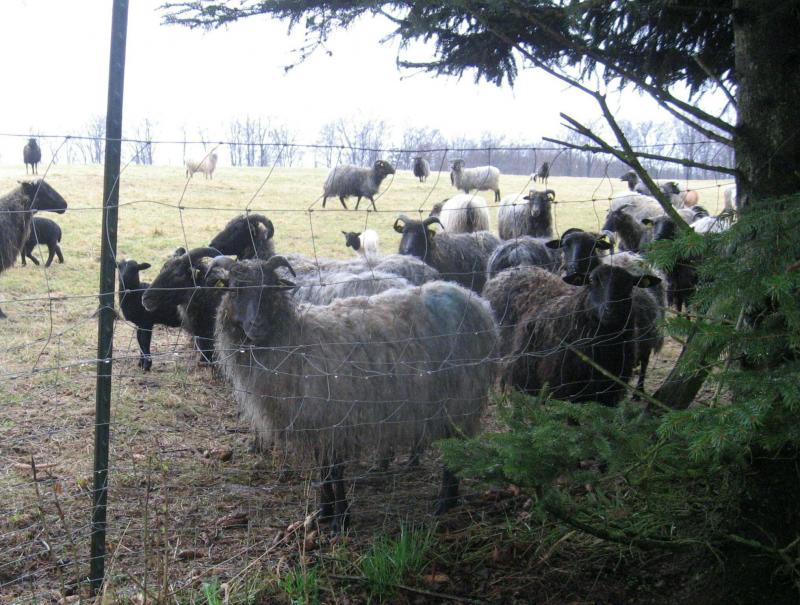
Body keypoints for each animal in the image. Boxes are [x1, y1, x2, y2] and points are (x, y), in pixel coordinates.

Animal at [214, 255, 498, 529]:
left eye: (271, 288)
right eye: (235, 289)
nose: (257, 325)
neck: (295, 341)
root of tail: (479, 305)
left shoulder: (335, 420)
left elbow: (334, 473)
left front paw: (340, 519)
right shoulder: (318, 423)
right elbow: (322, 471)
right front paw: (323, 513)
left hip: (461, 397)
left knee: (455, 447)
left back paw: (444, 502)